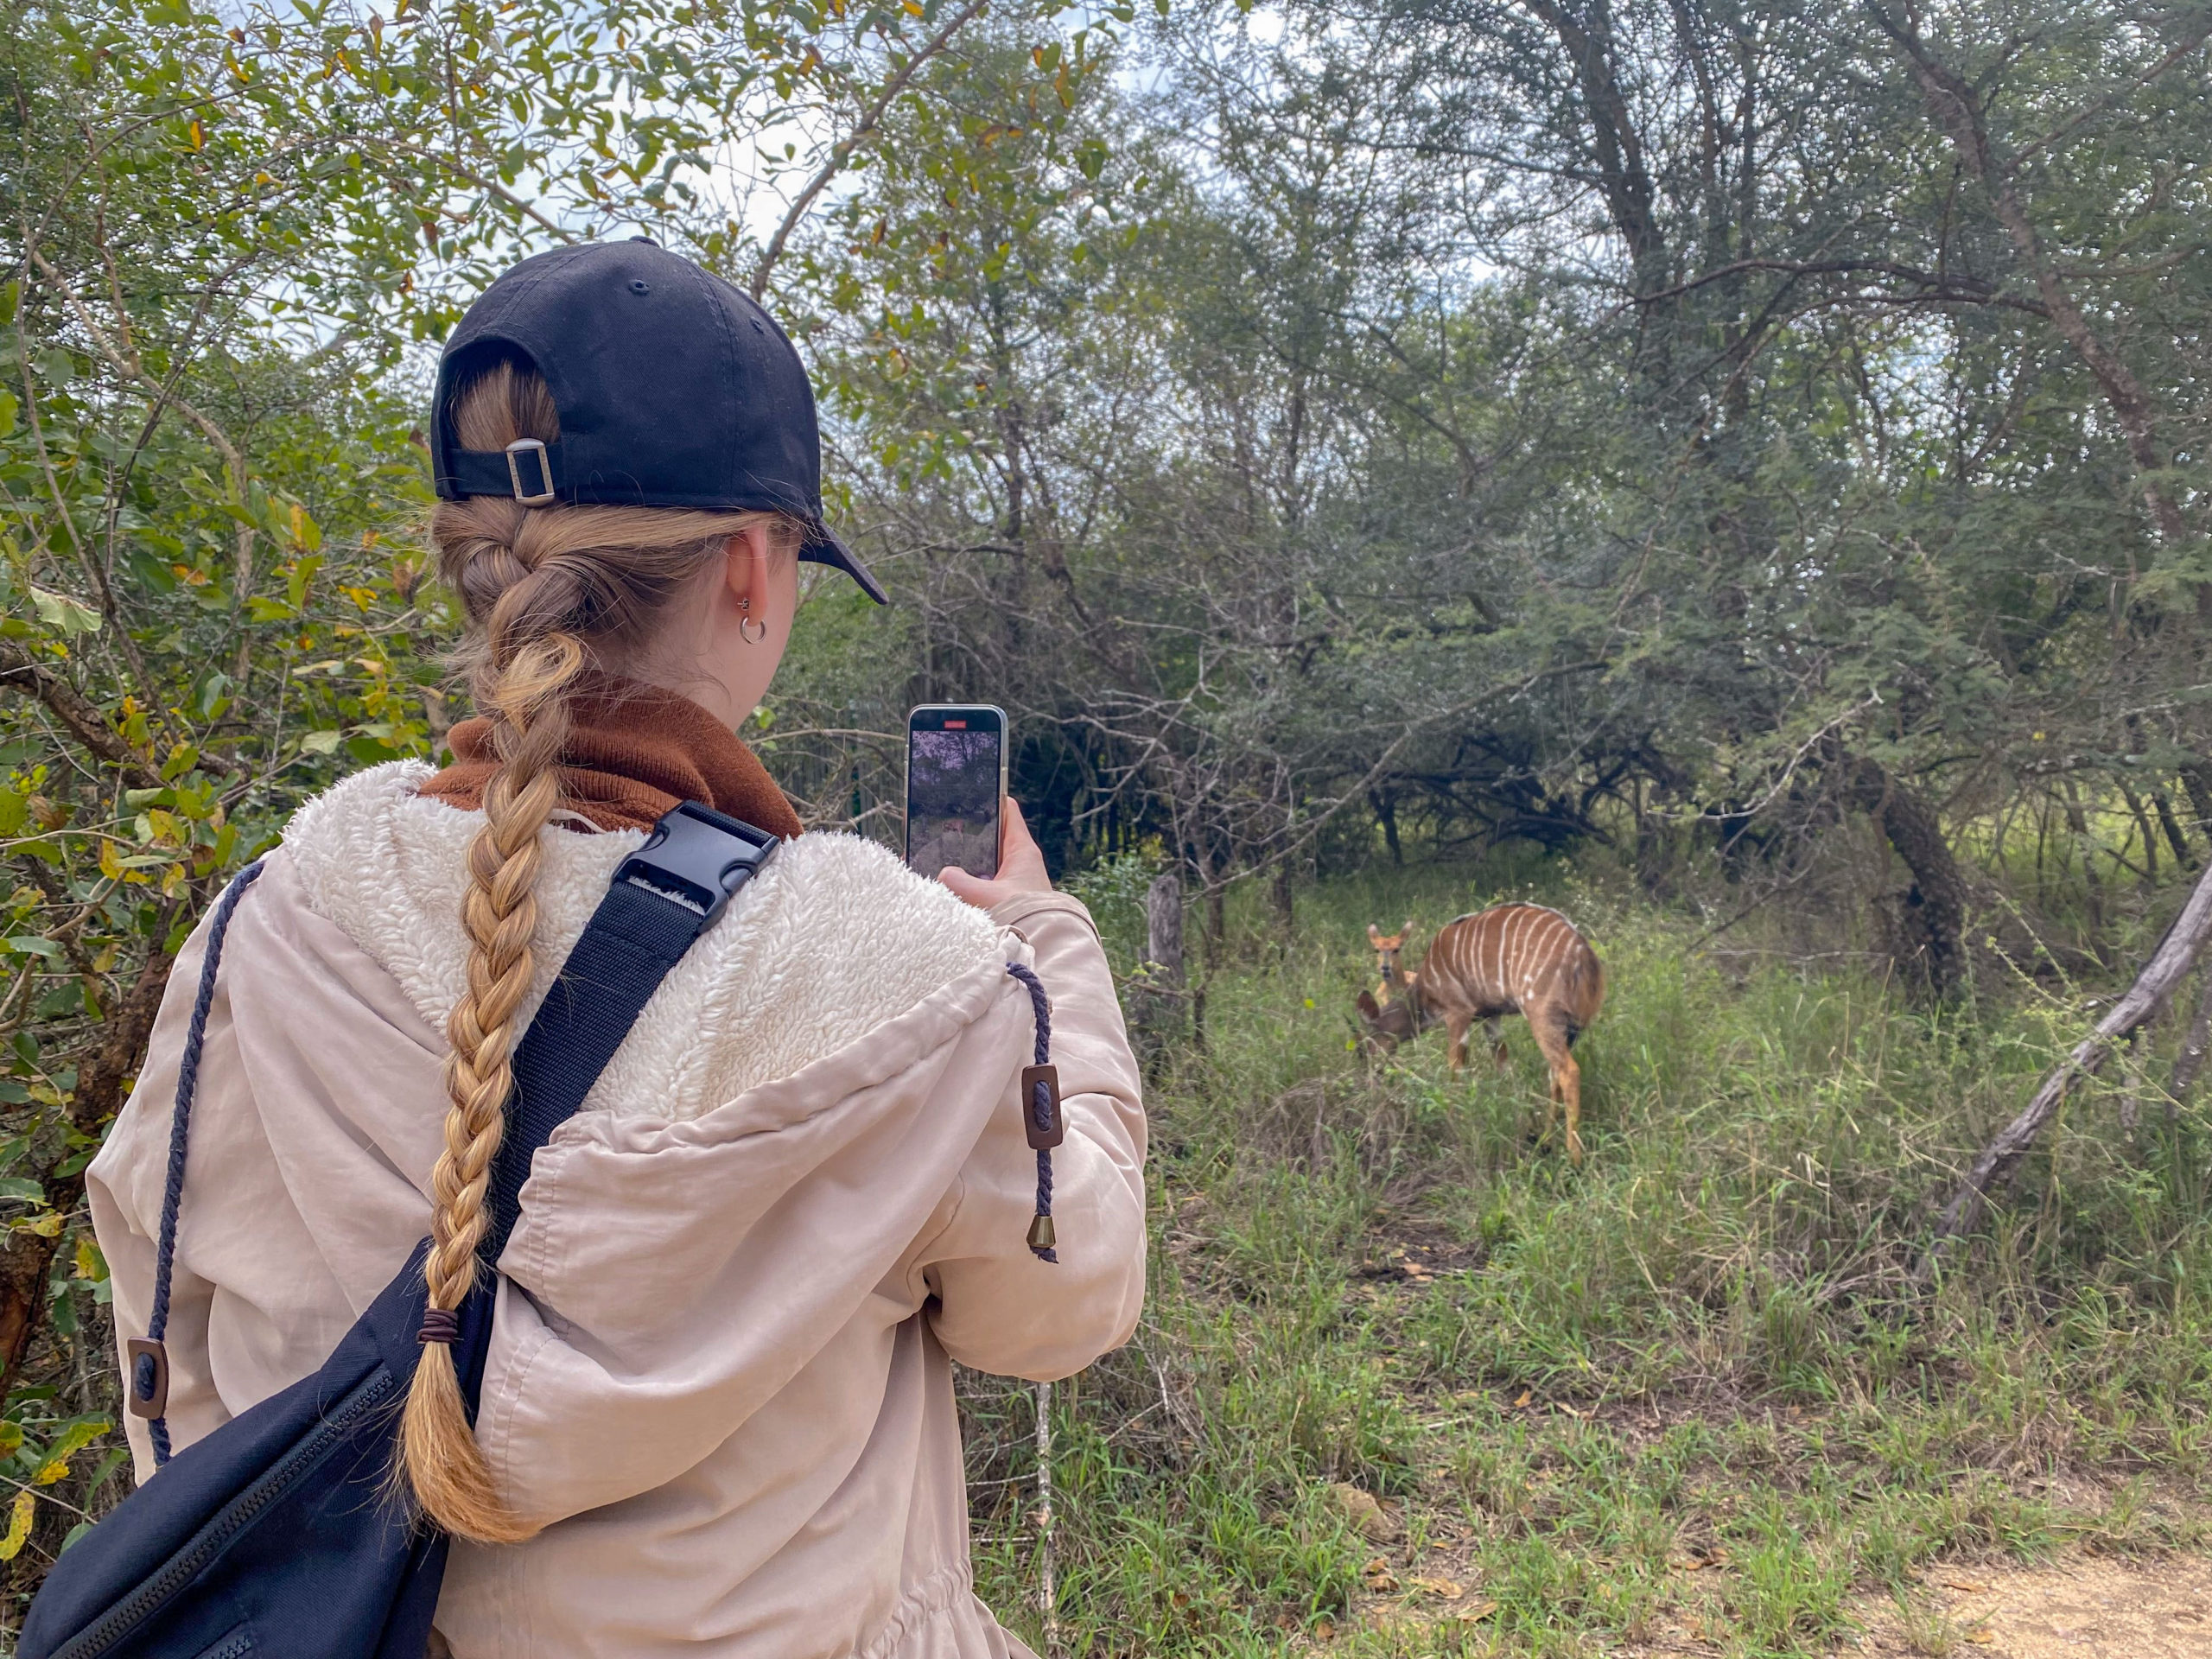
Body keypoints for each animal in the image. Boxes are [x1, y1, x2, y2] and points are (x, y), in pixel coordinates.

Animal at [1344, 911, 1610, 1167]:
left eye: (1363, 1048)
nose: (1372, 1074)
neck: (1423, 990)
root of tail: (1584, 955)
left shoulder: (1458, 1013)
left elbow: (1456, 1070)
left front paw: (1457, 1128)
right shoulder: (1491, 1017)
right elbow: (1504, 1068)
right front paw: (1521, 1126)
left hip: (1541, 1014)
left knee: (1568, 1071)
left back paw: (1573, 1160)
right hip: (1570, 1028)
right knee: (1554, 1073)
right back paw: (1545, 1142)